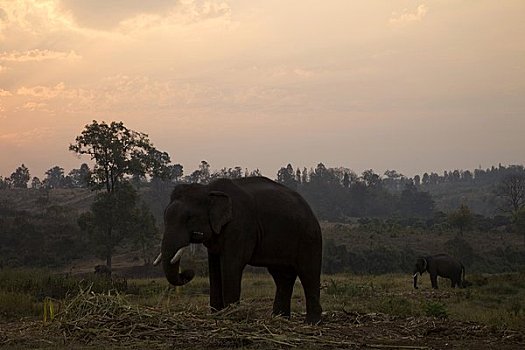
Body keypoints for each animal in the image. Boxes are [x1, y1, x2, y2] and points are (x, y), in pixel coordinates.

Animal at [152, 176, 324, 324]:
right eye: (165, 217)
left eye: (189, 218)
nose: (188, 272)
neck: (209, 189)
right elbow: (214, 267)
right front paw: (217, 315)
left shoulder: (240, 226)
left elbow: (231, 264)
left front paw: (230, 316)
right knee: (282, 276)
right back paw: (279, 319)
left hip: (309, 237)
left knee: (308, 273)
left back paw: (311, 323)